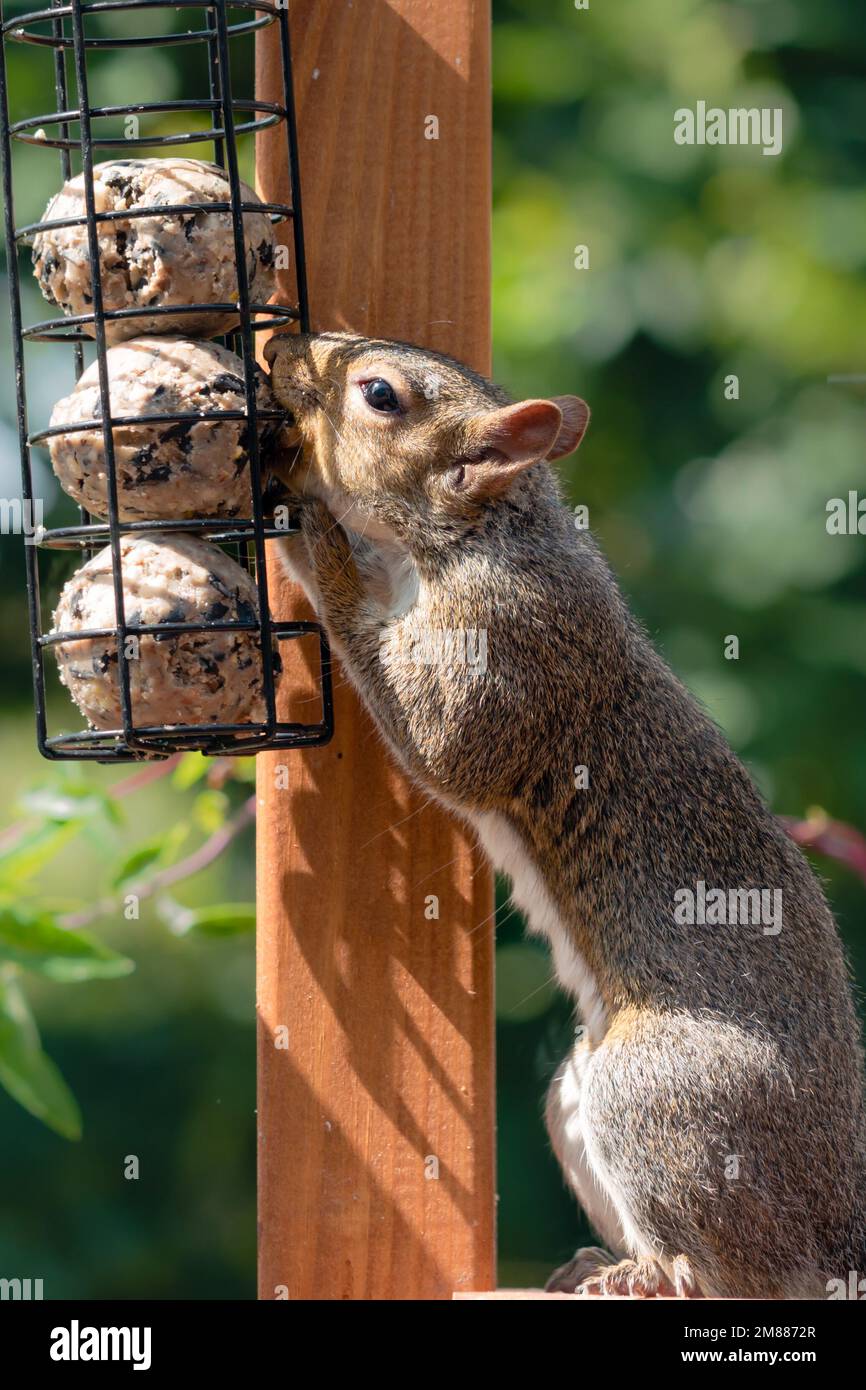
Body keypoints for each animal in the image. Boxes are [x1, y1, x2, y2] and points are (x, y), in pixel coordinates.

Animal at [265, 330, 866, 1295]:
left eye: (379, 394)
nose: (277, 347)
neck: (481, 535)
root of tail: (837, 1236)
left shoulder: (507, 646)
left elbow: (438, 743)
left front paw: (314, 537)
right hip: (577, 1094)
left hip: (656, 1091)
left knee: (732, 1274)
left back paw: (648, 1272)